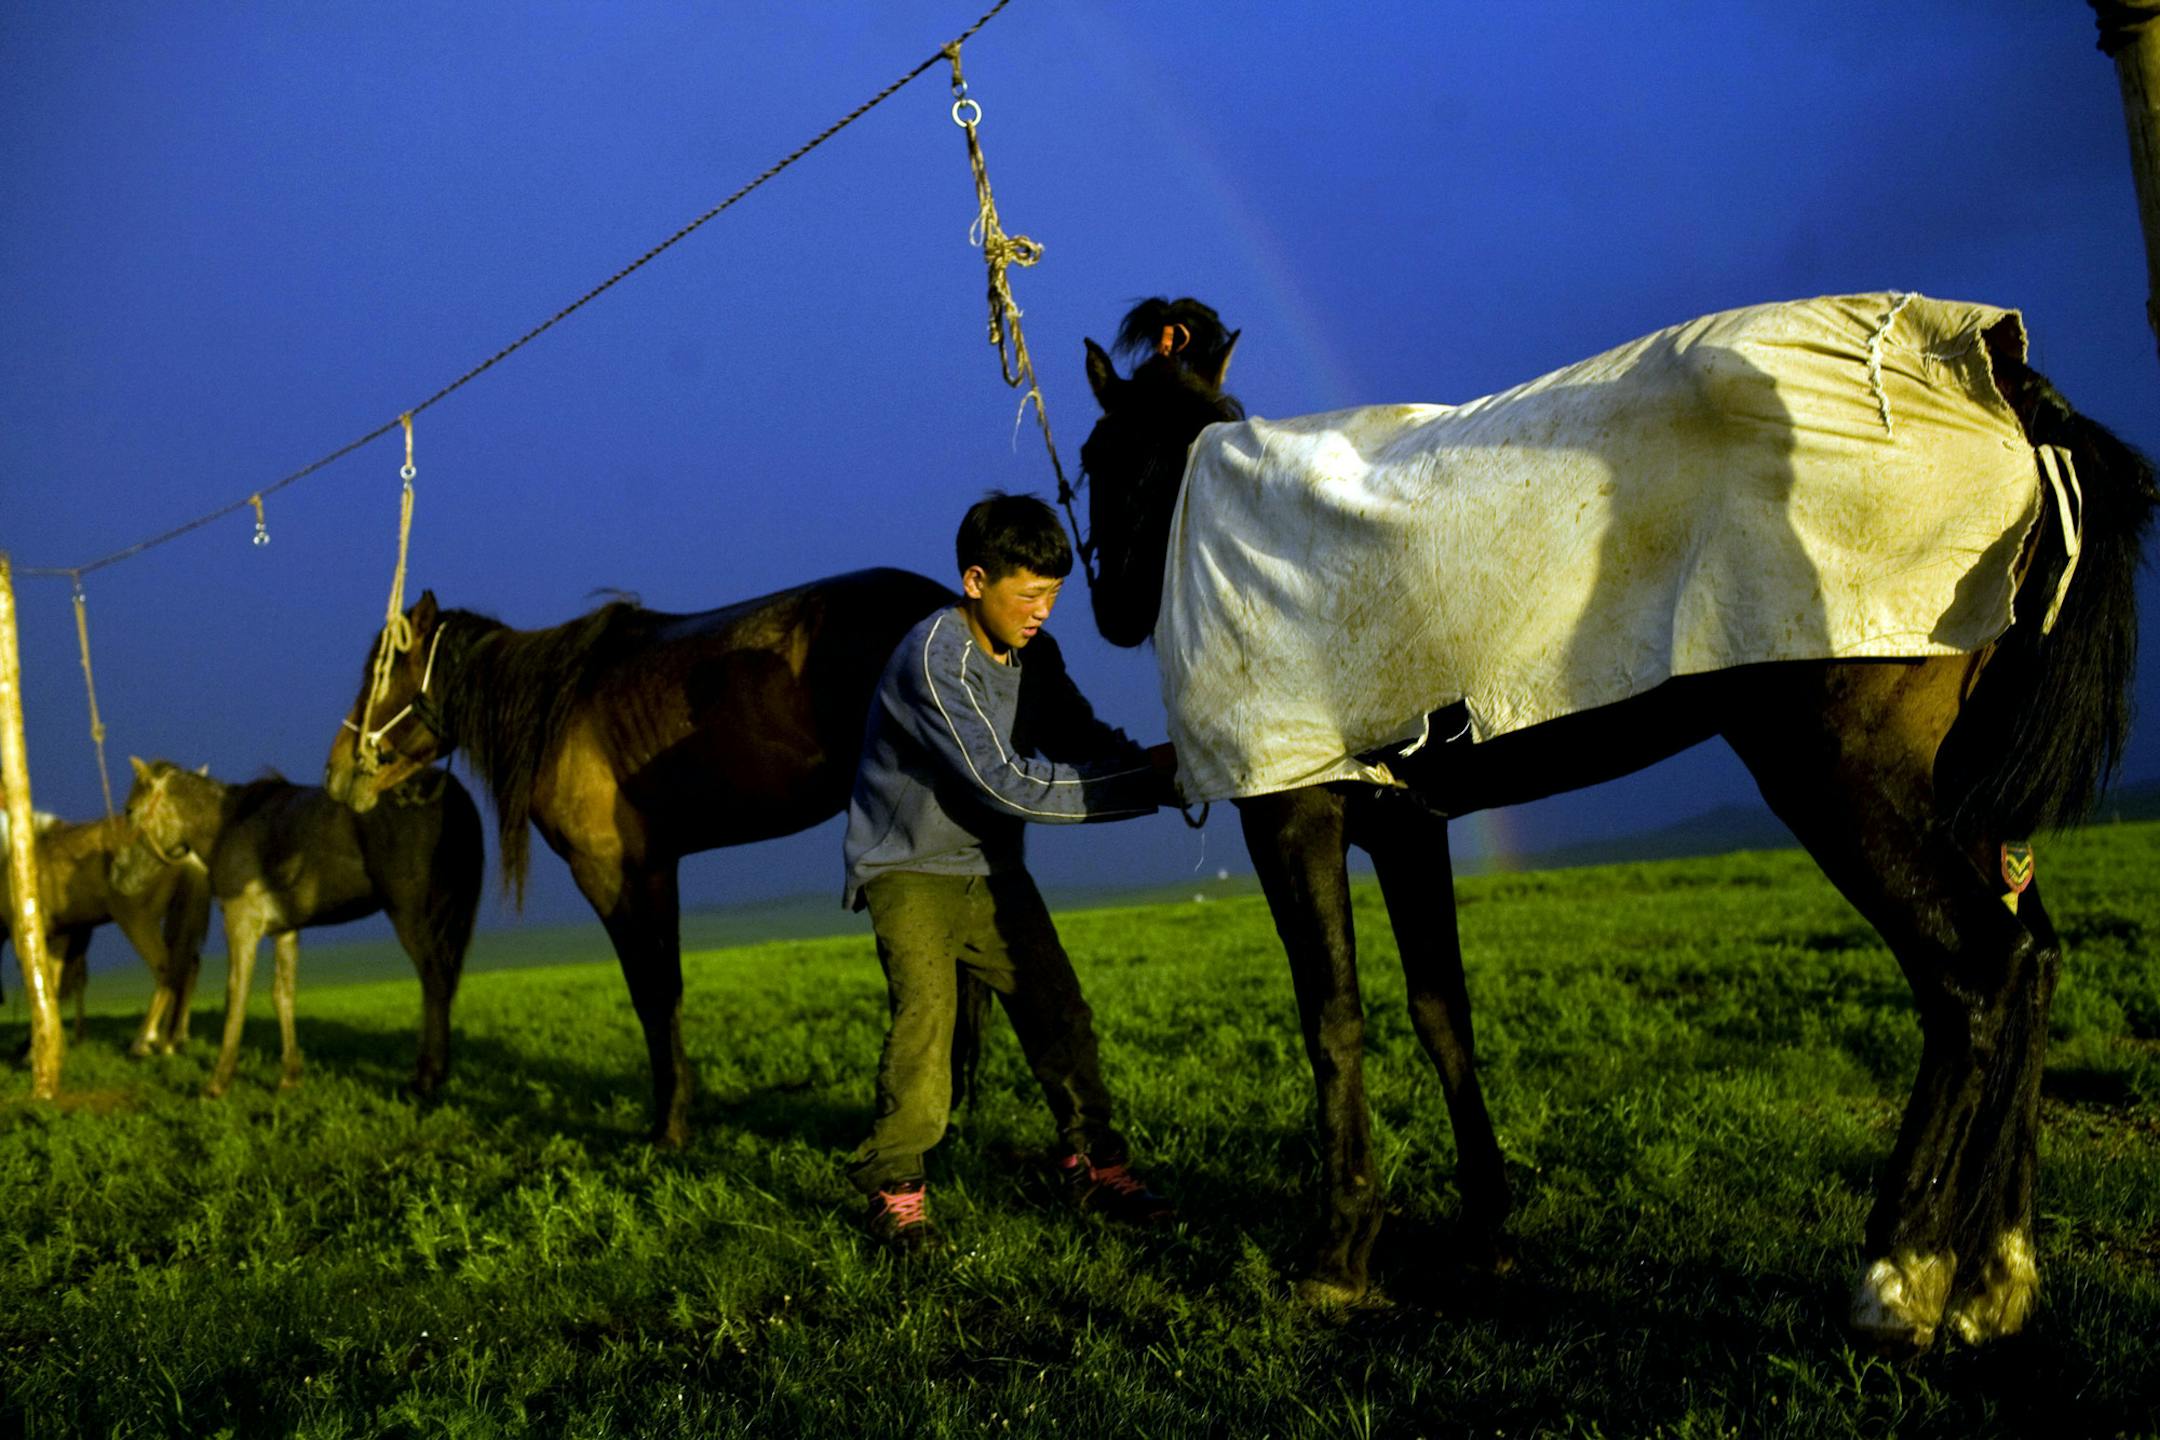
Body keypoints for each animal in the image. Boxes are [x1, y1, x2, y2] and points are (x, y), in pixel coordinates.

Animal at [2, 806, 212, 1056]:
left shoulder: (24, 931)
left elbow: (38, 984)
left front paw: (35, 1050)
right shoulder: (60, 934)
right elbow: (51, 983)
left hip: (136, 919)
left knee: (165, 966)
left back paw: (144, 1040)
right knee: (189, 965)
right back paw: (173, 1039)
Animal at [112, 760, 483, 1098]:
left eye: (129, 810)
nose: (117, 874)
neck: (226, 823)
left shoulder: (241, 923)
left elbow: (236, 993)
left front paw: (218, 1081)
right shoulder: (284, 930)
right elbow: (283, 995)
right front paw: (290, 1075)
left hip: (411, 914)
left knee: (434, 980)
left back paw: (427, 1077)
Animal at [321, 566, 958, 1145]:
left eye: (381, 672)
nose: (336, 771)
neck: (553, 706)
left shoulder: (608, 872)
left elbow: (649, 993)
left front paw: (668, 1128)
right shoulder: (656, 868)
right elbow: (667, 989)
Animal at [1076, 294, 2156, 1350]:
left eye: (1094, 459)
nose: (1115, 607)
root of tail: (2003, 377)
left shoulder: (1291, 812)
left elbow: (1332, 1019)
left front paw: (1339, 1250)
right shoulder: (1409, 825)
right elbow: (1442, 1012)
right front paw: (1487, 1231)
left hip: (1845, 779)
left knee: (1978, 972)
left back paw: (1900, 1271)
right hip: (1962, 799)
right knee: (2036, 960)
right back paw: (1996, 1278)